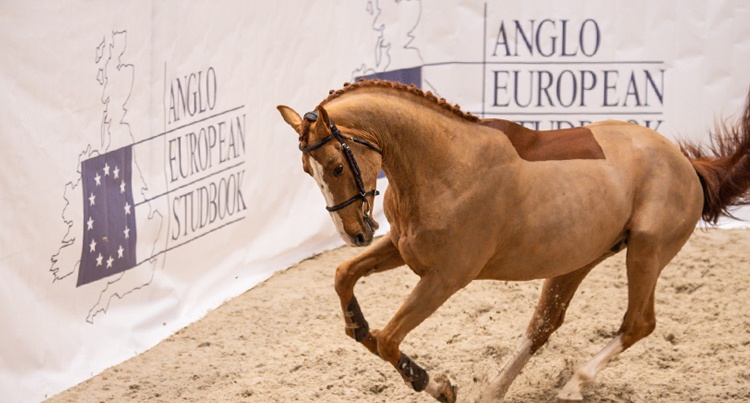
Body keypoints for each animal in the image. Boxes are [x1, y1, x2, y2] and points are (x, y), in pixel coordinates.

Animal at [280, 80, 750, 402]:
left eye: (336, 166)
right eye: (306, 170)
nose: (355, 233)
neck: (442, 163)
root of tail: (685, 163)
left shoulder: (445, 278)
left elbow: (388, 338)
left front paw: (438, 385)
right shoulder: (401, 246)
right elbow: (344, 278)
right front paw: (356, 325)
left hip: (647, 252)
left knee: (639, 323)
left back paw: (573, 386)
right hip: (577, 260)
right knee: (543, 326)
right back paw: (492, 391)